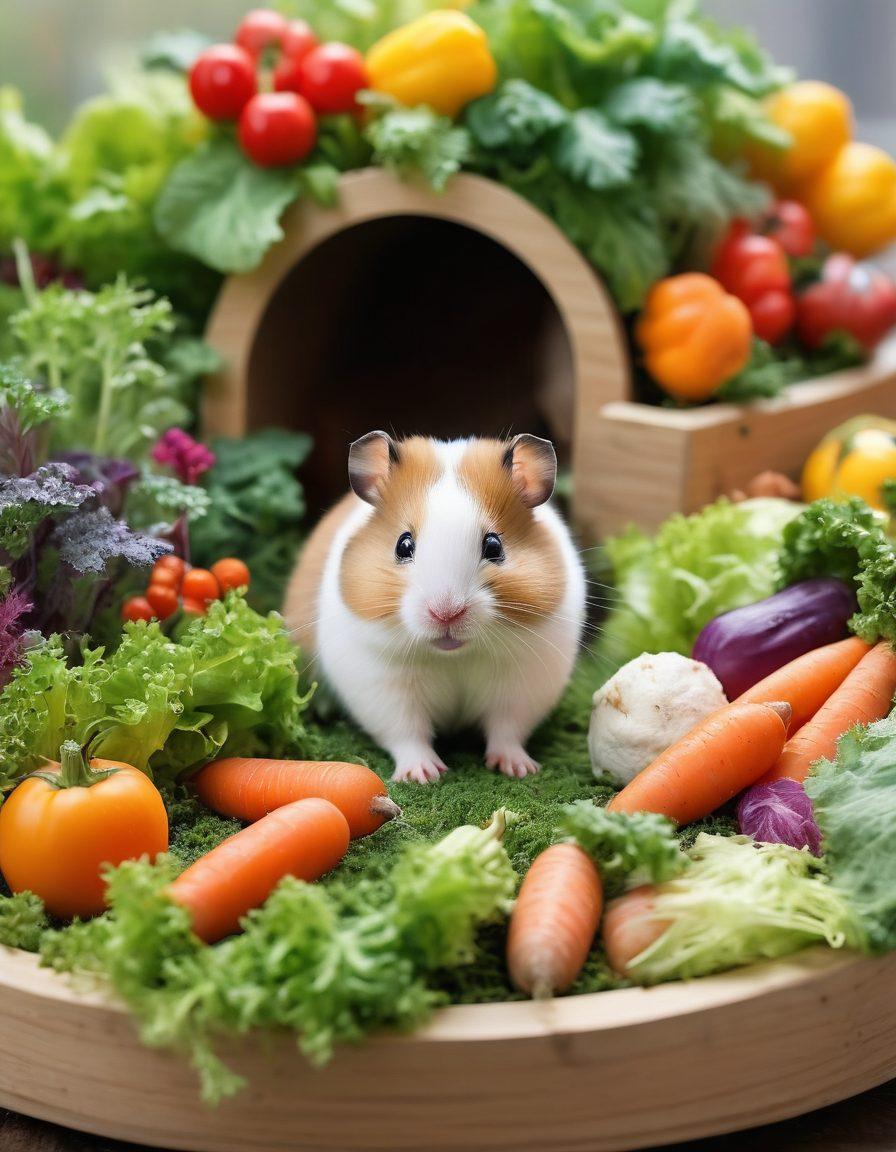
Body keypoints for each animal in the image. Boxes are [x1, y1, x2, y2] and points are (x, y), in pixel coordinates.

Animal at [285, 432, 586, 784]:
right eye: (403, 545)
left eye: (494, 546)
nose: (446, 613)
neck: (453, 656)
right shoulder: (384, 687)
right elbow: (407, 733)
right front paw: (423, 776)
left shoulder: (521, 686)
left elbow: (506, 732)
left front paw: (520, 770)